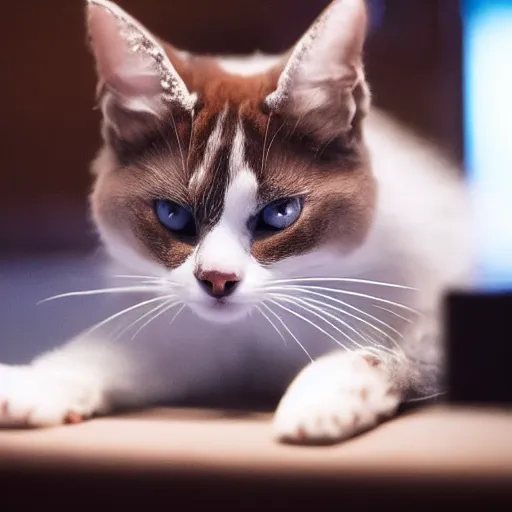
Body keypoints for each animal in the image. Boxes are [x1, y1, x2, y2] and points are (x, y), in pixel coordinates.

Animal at [0, 0, 472, 442]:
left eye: (280, 214)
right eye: (173, 215)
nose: (217, 279)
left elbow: (400, 345)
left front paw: (331, 389)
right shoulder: (187, 328)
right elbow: (117, 348)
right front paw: (39, 381)